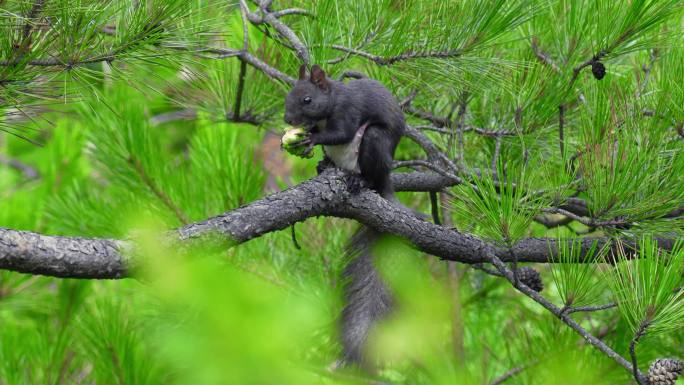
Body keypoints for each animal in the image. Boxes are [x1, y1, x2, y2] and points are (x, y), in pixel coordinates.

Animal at [284, 64, 406, 364]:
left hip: (374, 143)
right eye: (289, 94)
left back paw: (358, 181)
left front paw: (312, 138)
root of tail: (386, 183)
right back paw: (325, 164)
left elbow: (343, 133)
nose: (287, 119)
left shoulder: (348, 112)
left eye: (307, 100)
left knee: (369, 174)